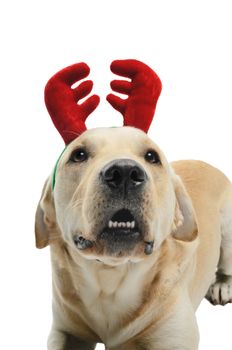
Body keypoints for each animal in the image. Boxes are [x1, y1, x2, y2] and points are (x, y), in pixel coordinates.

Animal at [35, 60, 232, 348]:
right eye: (78, 154)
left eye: (151, 156)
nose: (125, 173)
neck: (111, 277)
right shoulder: (64, 329)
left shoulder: (175, 337)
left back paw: (222, 284)